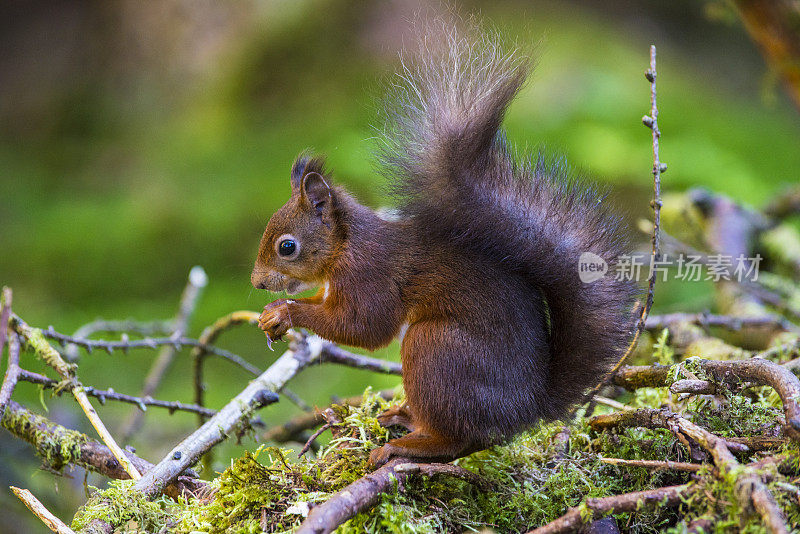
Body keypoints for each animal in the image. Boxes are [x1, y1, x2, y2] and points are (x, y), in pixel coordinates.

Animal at [250, 23, 636, 466]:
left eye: (287, 247)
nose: (258, 282)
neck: (346, 245)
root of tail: (526, 408)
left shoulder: (370, 276)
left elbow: (365, 328)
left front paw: (287, 311)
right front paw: (272, 313)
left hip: (435, 349)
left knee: (458, 439)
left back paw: (406, 445)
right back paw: (403, 417)